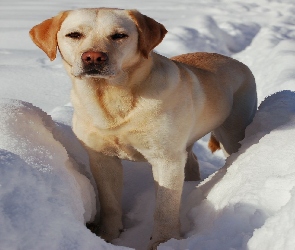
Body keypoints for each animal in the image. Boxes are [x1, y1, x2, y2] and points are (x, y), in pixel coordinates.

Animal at [29, 7, 256, 248]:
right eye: (74, 35)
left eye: (119, 35)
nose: (93, 57)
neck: (112, 99)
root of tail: (235, 61)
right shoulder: (102, 158)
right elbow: (110, 203)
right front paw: (109, 236)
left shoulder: (166, 159)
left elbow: (165, 209)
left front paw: (164, 242)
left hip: (232, 132)